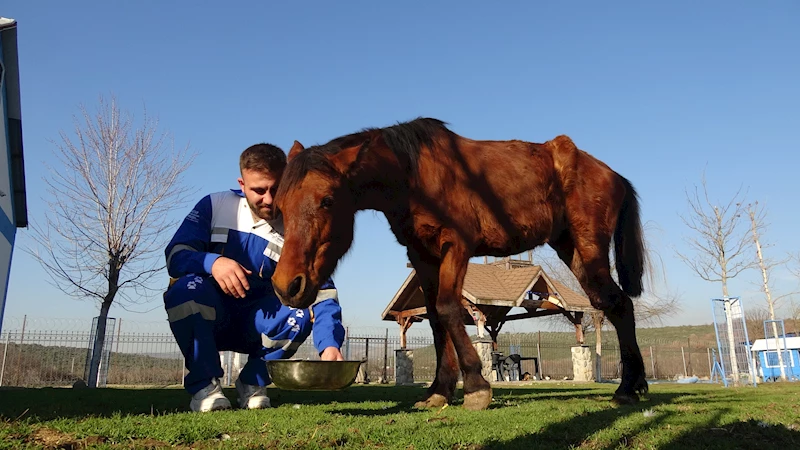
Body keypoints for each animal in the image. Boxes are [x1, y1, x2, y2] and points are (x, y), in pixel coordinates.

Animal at [272, 118, 648, 410]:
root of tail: (612, 174)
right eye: (280, 205)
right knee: (616, 304)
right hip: (572, 248)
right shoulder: (422, 256)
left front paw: (476, 385)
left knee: (617, 304)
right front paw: (440, 390)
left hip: (588, 246)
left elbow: (449, 308)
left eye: (327, 200)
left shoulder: (457, 245)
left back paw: (626, 389)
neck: (413, 174)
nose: (286, 285)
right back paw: (635, 385)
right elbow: (437, 321)